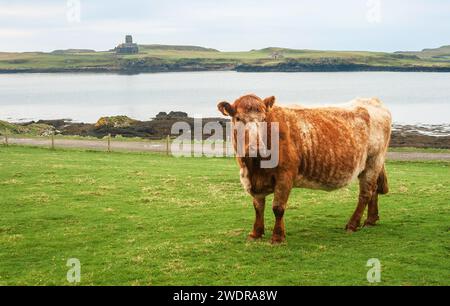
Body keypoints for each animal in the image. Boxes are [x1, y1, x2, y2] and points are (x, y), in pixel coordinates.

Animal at [217, 93, 390, 244]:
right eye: (238, 118)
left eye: (264, 119)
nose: (256, 147)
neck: (254, 168)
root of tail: (373, 101)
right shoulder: (254, 181)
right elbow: (258, 206)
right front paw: (256, 233)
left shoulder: (285, 175)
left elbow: (278, 207)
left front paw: (278, 237)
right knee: (374, 189)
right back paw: (370, 220)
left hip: (373, 161)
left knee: (365, 193)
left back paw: (352, 224)